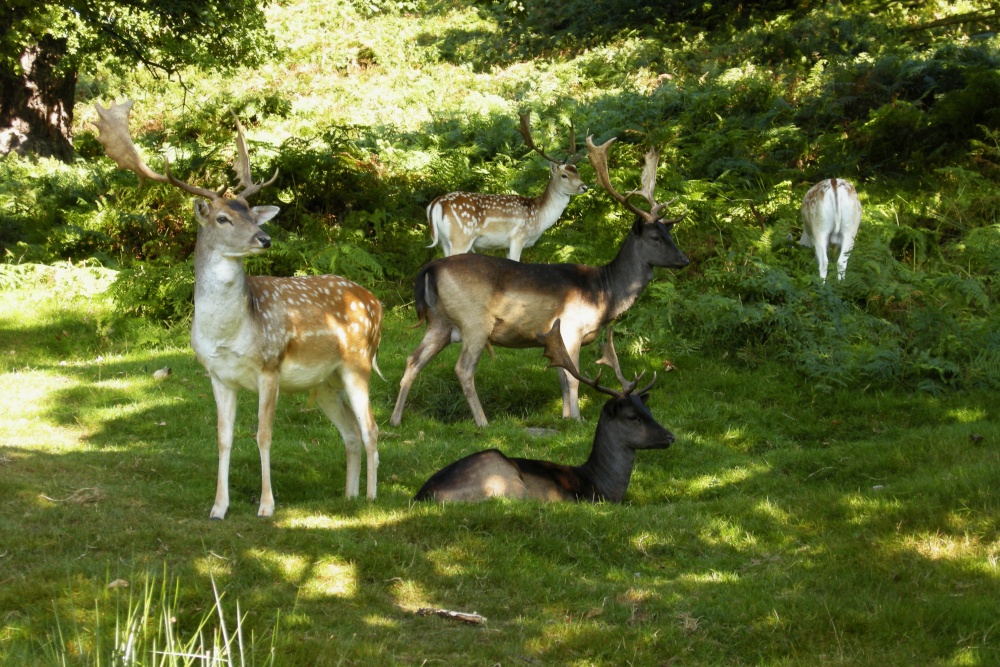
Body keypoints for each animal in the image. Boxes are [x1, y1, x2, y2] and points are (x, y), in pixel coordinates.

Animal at [93, 100, 383, 519]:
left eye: (250, 211)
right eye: (223, 217)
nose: (265, 238)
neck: (230, 332)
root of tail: (376, 302)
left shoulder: (270, 366)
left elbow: (263, 435)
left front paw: (266, 506)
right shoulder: (217, 374)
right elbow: (223, 438)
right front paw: (218, 507)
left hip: (358, 362)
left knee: (371, 428)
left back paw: (372, 498)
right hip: (325, 381)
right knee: (349, 432)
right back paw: (349, 495)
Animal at [390, 134, 689, 428]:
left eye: (669, 233)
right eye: (655, 237)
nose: (684, 260)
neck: (605, 292)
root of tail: (430, 268)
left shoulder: (553, 338)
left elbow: (561, 377)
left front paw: (565, 417)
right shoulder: (570, 327)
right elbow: (573, 378)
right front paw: (577, 420)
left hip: (439, 322)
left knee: (412, 359)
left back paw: (395, 420)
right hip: (474, 320)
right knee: (462, 368)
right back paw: (483, 423)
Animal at [413, 320, 674, 502]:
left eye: (648, 410)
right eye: (632, 417)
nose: (670, 436)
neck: (601, 487)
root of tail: (424, 494)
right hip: (506, 481)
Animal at [425, 112, 589, 261]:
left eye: (578, 172)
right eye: (564, 175)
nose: (584, 187)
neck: (539, 217)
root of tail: (436, 204)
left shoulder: (505, 246)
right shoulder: (518, 236)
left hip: (444, 241)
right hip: (461, 236)